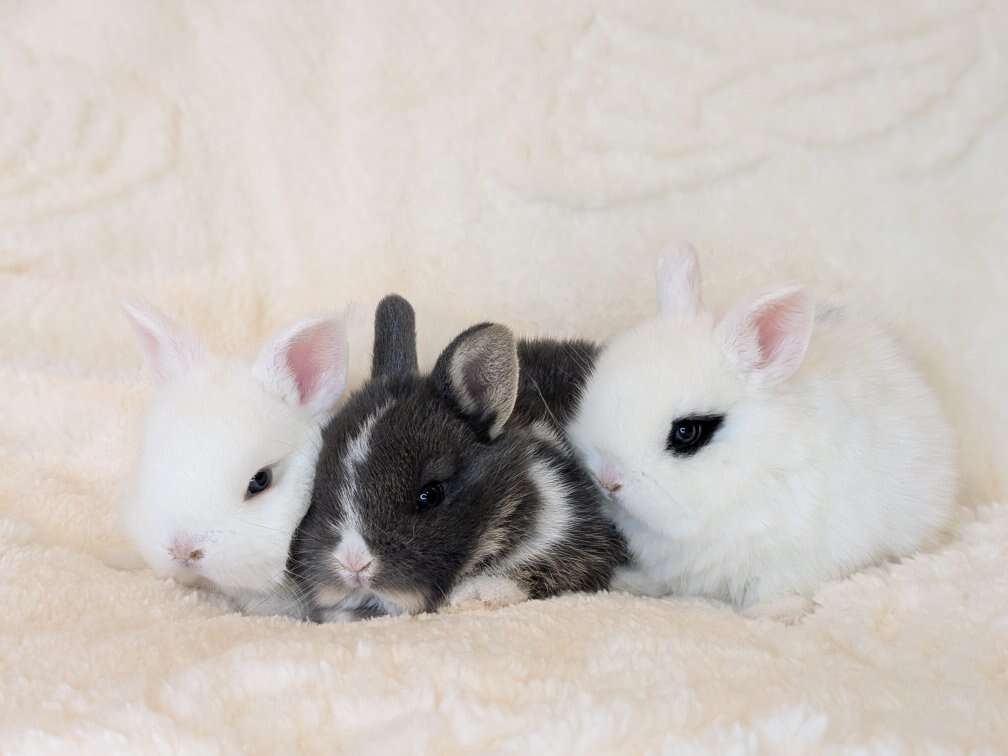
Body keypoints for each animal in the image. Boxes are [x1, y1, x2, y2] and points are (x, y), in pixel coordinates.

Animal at [572, 243, 955, 620]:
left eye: (686, 432)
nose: (608, 480)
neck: (752, 466)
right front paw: (629, 582)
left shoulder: (791, 555)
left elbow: (777, 588)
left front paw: (773, 613)